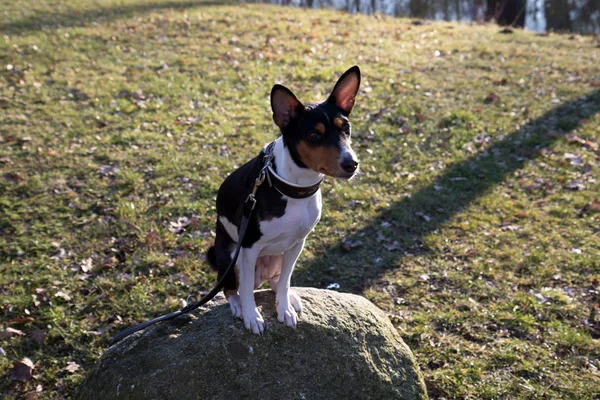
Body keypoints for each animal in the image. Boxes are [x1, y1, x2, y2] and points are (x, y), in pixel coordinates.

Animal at [206, 65, 360, 334]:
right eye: (313, 135)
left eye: (345, 128)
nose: (351, 163)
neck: (295, 187)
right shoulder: (249, 247)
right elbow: (246, 290)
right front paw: (251, 315)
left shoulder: (297, 243)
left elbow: (287, 279)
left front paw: (284, 307)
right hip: (231, 256)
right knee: (230, 287)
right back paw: (236, 305)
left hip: (276, 257)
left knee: (275, 280)